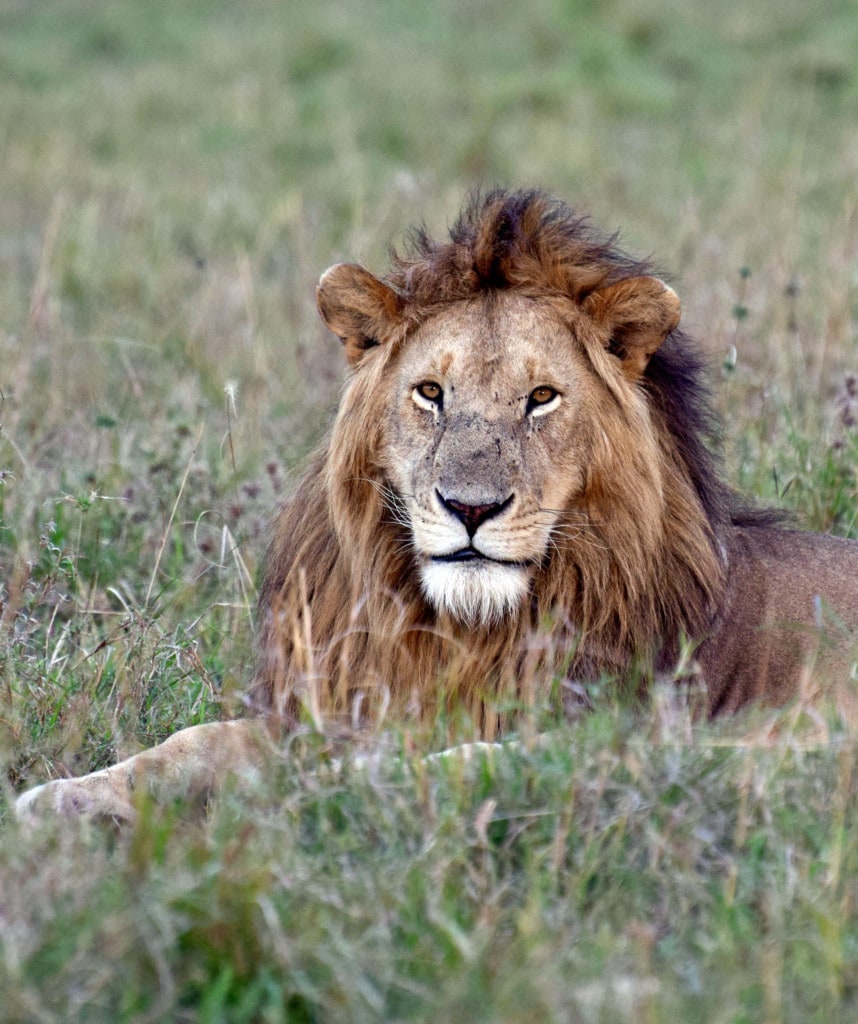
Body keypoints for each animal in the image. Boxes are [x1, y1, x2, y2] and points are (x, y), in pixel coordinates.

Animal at [16, 188, 858, 823]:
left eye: (541, 398)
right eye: (430, 392)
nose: (470, 508)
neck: (460, 635)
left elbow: (499, 757)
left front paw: (351, 782)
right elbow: (191, 741)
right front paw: (59, 801)